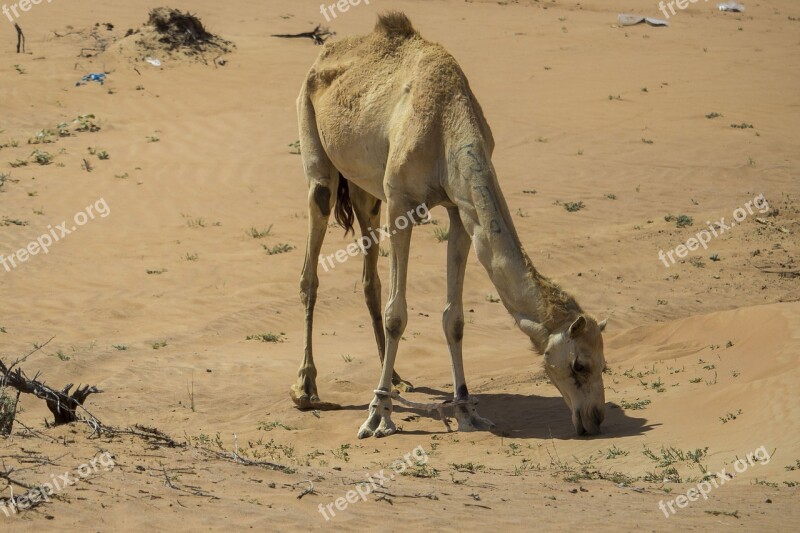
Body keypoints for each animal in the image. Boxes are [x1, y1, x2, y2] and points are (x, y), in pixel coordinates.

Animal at [290, 12, 608, 436]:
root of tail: (321, 57)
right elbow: (397, 315)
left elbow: (453, 319)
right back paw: (307, 389)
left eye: (604, 363)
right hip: (316, 150)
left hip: (365, 190)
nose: (595, 418)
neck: (446, 122)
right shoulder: (401, 202)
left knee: (370, 277)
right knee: (312, 263)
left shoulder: (460, 209)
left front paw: (466, 411)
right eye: (580, 364)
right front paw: (378, 416)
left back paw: (394, 378)